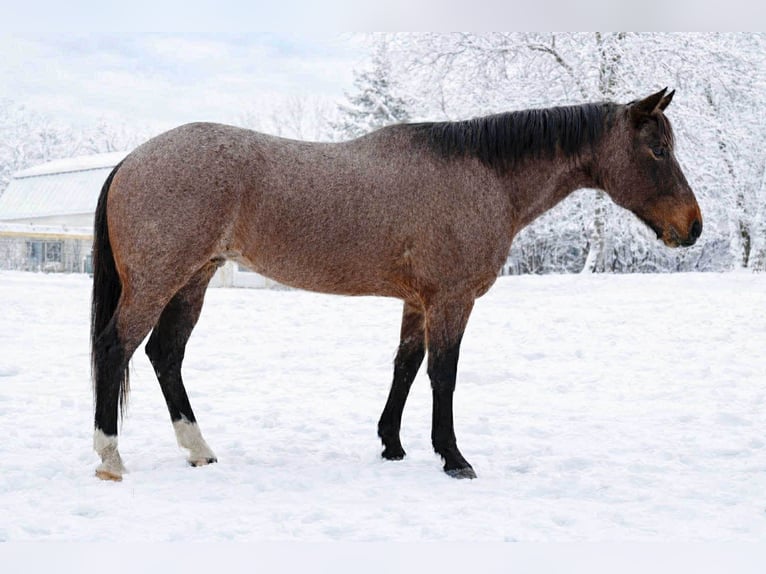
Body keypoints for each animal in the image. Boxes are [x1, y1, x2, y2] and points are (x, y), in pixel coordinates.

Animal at [91, 88, 702, 481]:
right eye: (658, 150)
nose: (692, 227)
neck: (482, 175)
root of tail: (133, 160)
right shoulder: (452, 299)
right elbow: (443, 374)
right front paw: (453, 457)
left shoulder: (417, 301)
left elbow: (405, 368)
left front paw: (392, 445)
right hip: (159, 281)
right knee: (116, 348)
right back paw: (110, 457)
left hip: (193, 281)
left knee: (165, 355)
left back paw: (198, 450)